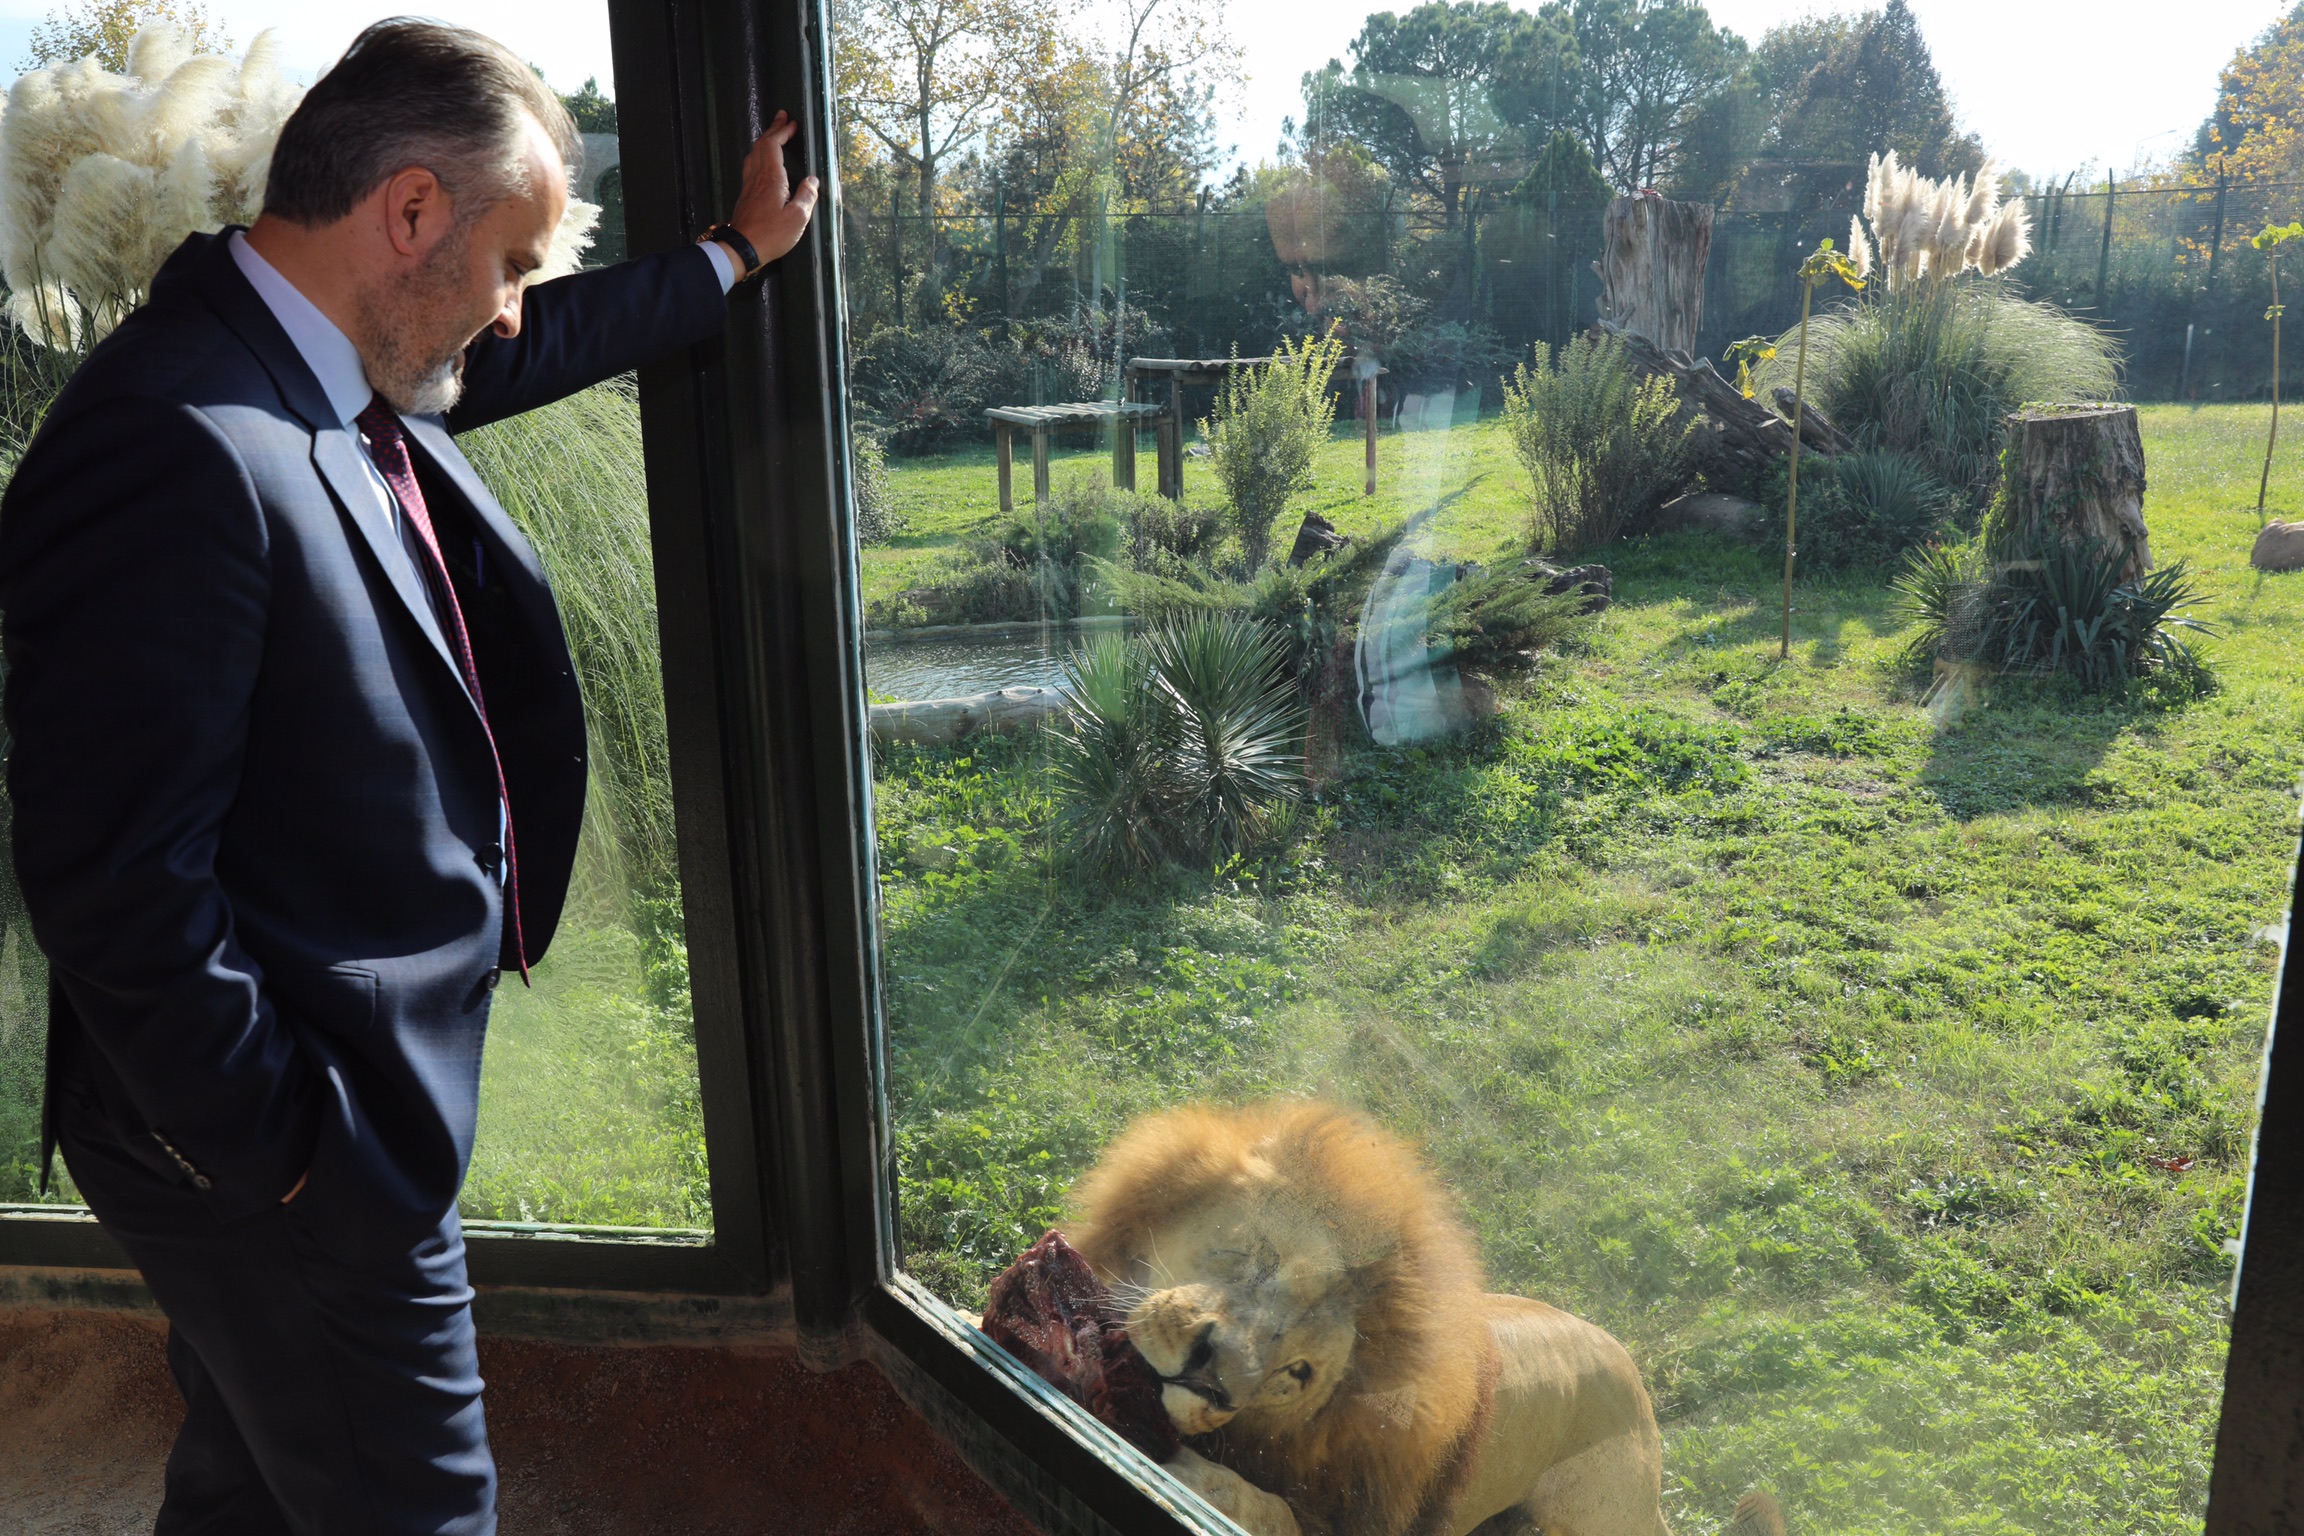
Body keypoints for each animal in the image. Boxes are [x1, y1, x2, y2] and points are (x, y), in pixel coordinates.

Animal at [1062, 1100, 1694, 1536]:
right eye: (1261, 1262)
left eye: (1297, 1372)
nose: (1207, 1382)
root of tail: (1624, 1356)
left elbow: (1263, 1509)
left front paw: (1182, 1477)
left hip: (1603, 1508)